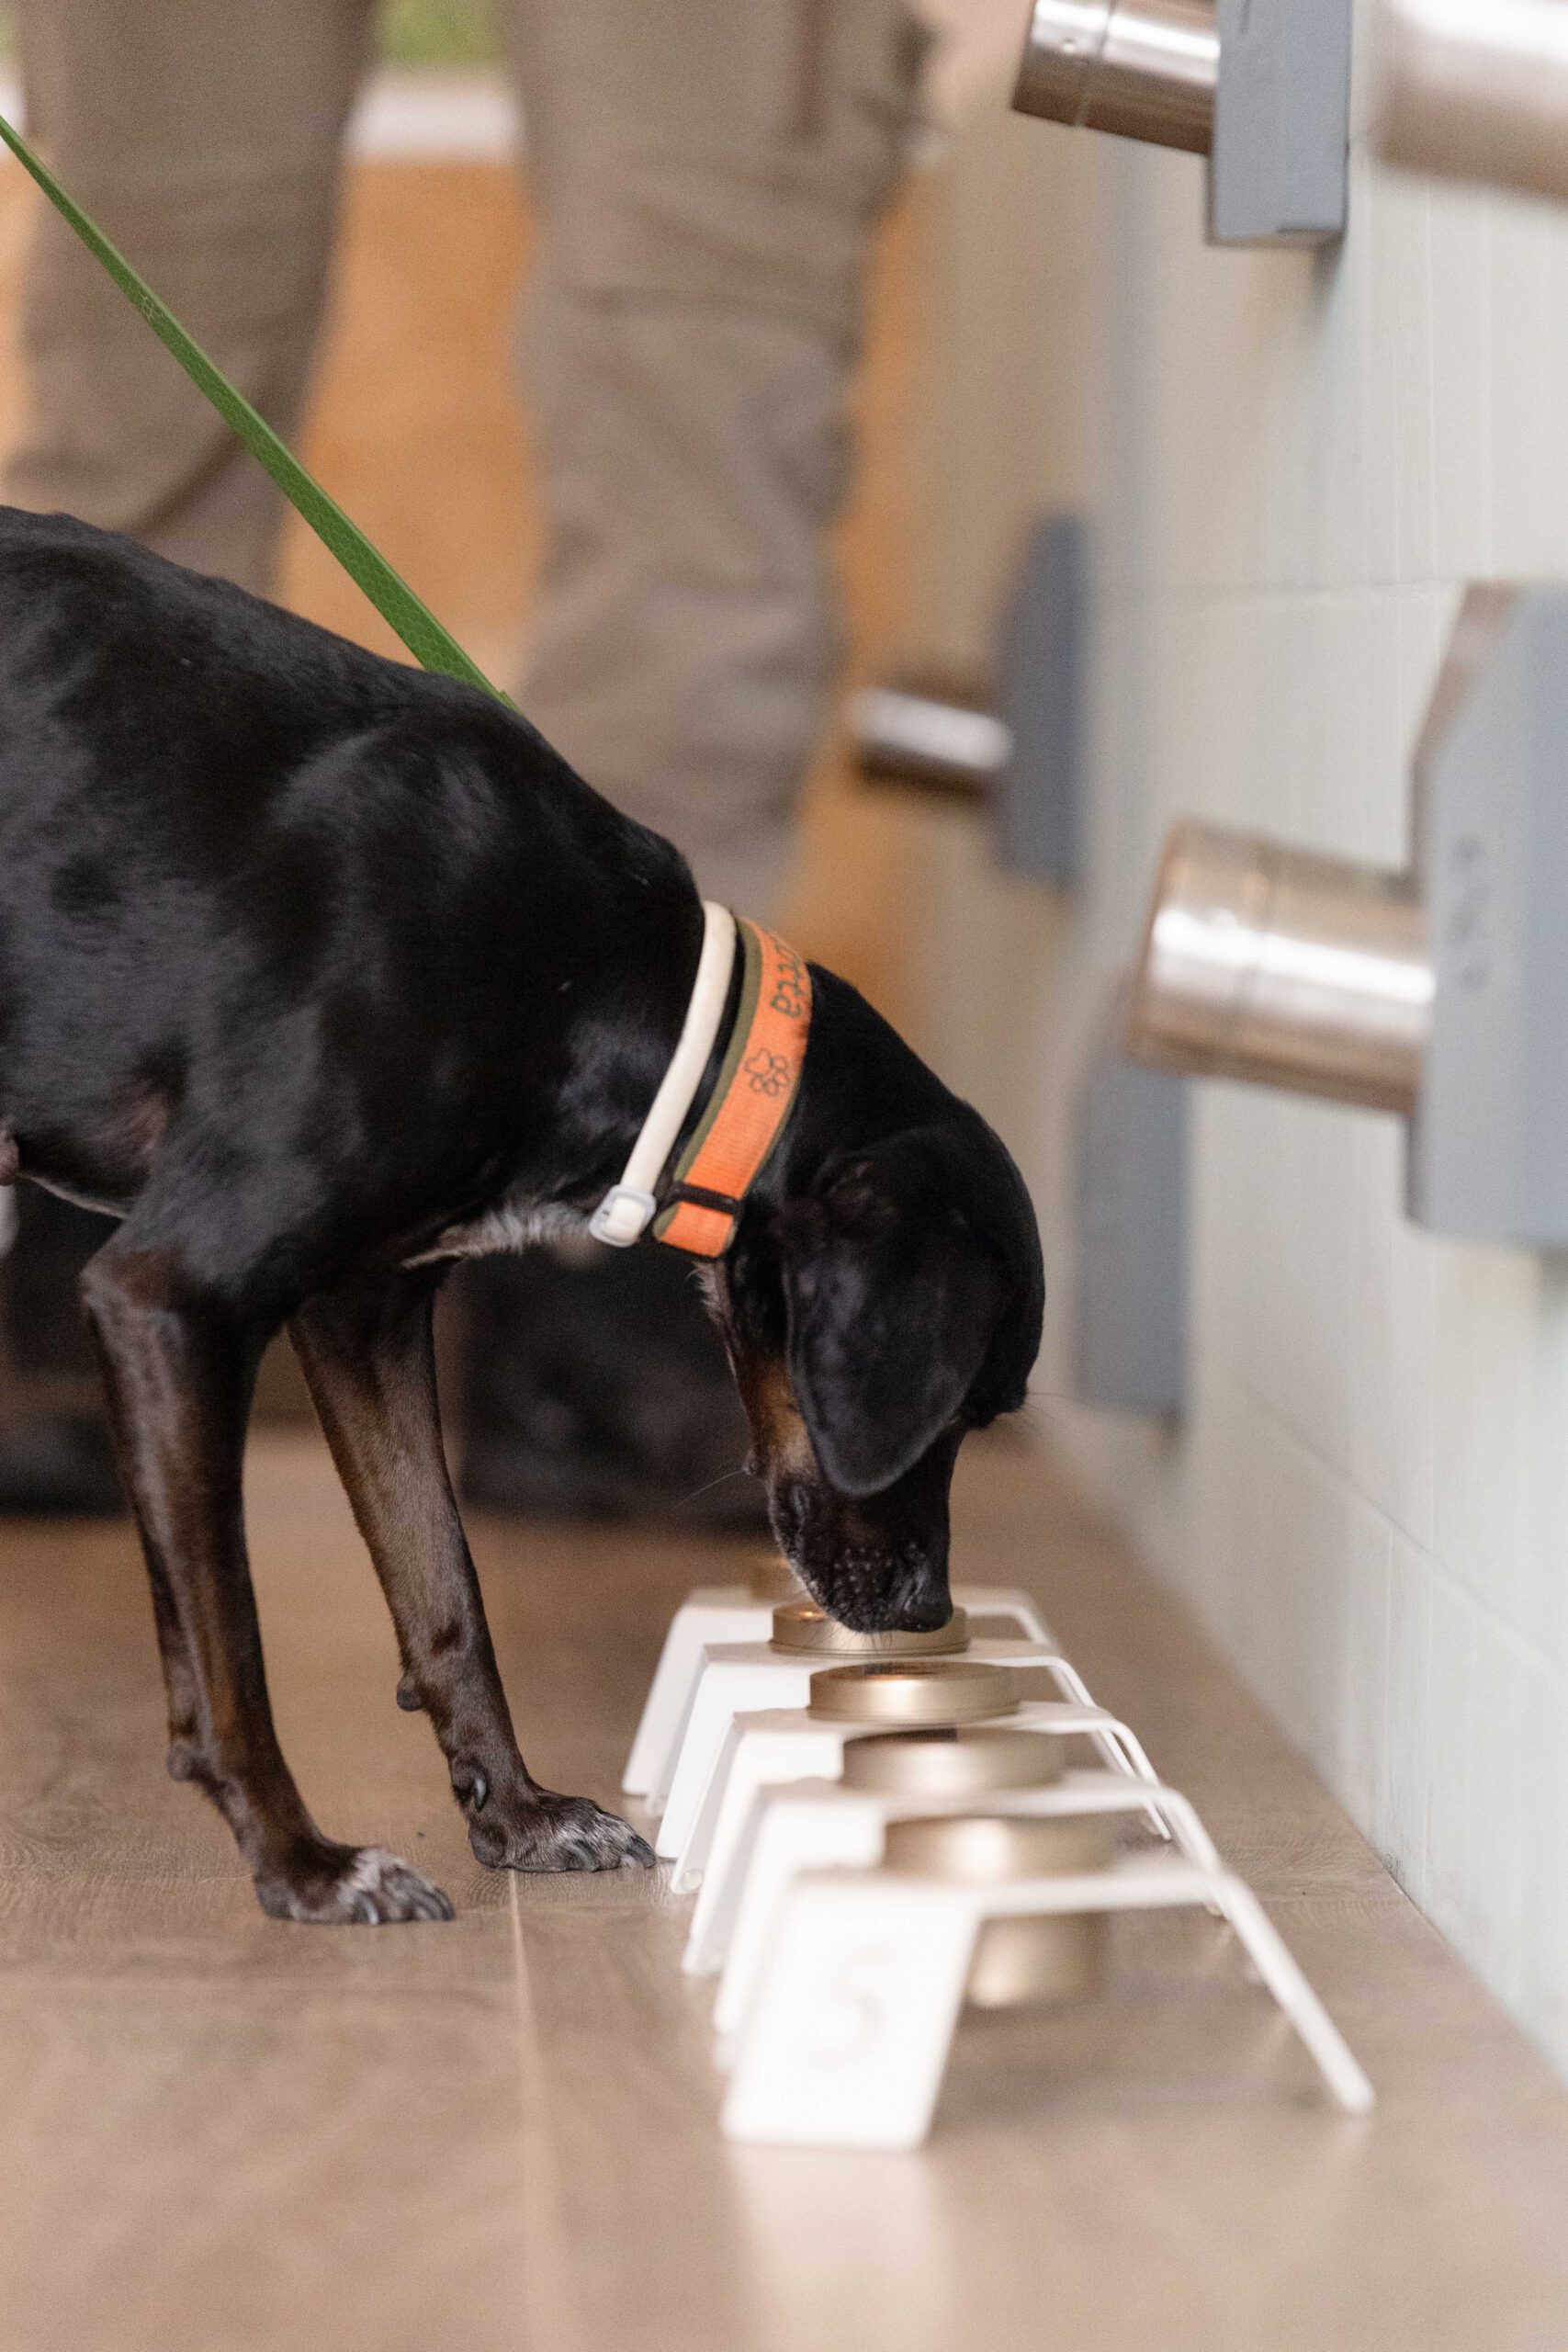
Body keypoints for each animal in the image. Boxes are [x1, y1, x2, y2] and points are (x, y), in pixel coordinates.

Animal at [0, 507, 1044, 1924]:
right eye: (960, 1412)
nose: (929, 1607)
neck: (585, 975)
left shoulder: (365, 1310)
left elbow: (446, 1584)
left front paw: (519, 1814)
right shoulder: (169, 1297)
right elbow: (230, 1646)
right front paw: (302, 1862)